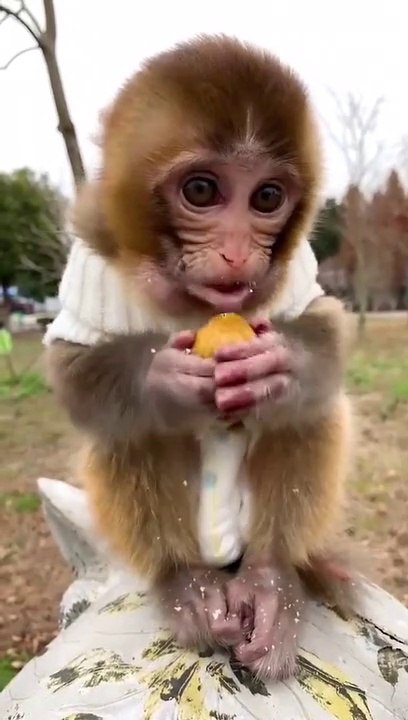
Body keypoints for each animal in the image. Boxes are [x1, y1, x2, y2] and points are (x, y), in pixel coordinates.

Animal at [44, 35, 357, 681]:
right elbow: (72, 364)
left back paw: (270, 582)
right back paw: (186, 582)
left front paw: (281, 363)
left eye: (267, 197)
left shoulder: (298, 271)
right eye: (202, 191)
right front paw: (160, 379)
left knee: (310, 407)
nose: (237, 253)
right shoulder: (90, 256)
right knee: (126, 429)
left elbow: (325, 324)